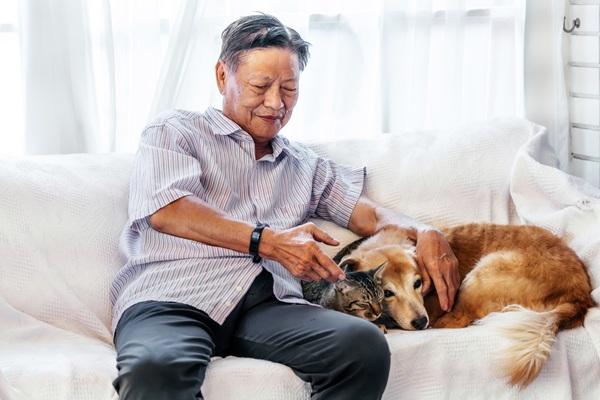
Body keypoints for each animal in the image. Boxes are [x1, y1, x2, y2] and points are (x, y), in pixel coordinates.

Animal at [334, 223, 596, 387]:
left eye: (418, 283)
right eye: (387, 292)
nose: (421, 322)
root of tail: (580, 296)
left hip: (483, 272)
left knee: (456, 321)